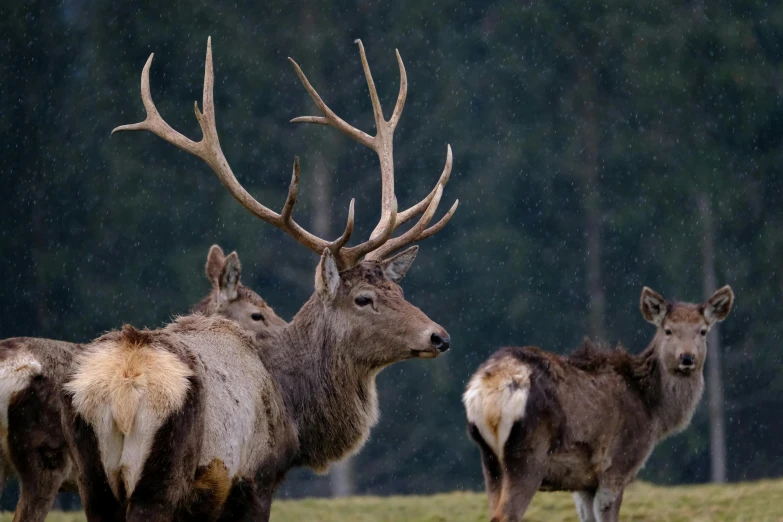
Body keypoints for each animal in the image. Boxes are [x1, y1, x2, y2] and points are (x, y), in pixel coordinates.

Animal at [66, 39, 460, 520]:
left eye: (398, 289)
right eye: (364, 298)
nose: (439, 335)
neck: (293, 412)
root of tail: (120, 388)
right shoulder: (256, 478)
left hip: (92, 480)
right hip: (161, 477)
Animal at [462, 284, 732, 520]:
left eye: (703, 330)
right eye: (668, 330)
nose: (687, 357)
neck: (653, 413)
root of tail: (488, 387)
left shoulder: (583, 481)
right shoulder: (618, 465)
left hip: (489, 459)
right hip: (528, 455)